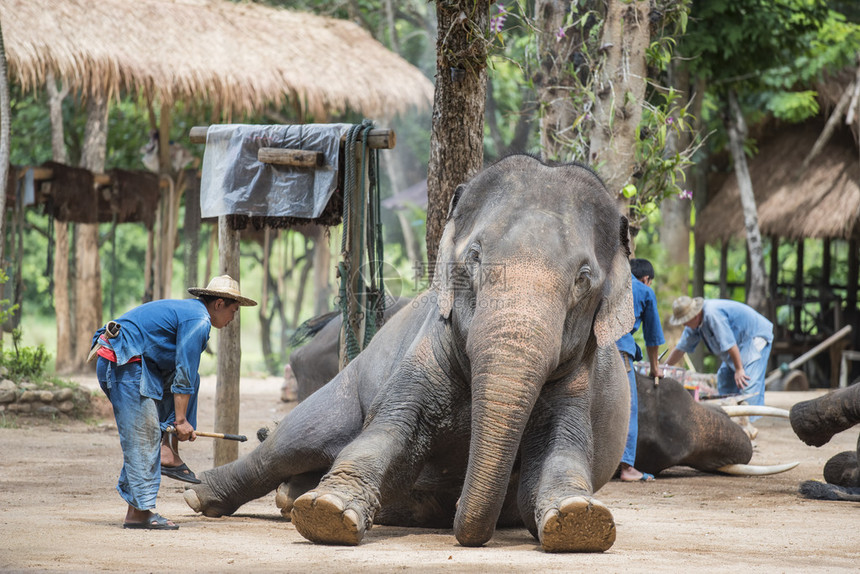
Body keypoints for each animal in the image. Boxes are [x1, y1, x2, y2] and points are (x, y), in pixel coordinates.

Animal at [183, 155, 640, 556]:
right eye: (474, 258)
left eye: (583, 279)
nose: (462, 516)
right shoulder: (429, 347)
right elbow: (394, 430)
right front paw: (327, 513)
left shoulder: (578, 378)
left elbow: (558, 452)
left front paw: (580, 520)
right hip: (349, 380)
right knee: (293, 441)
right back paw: (203, 495)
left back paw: (292, 495)